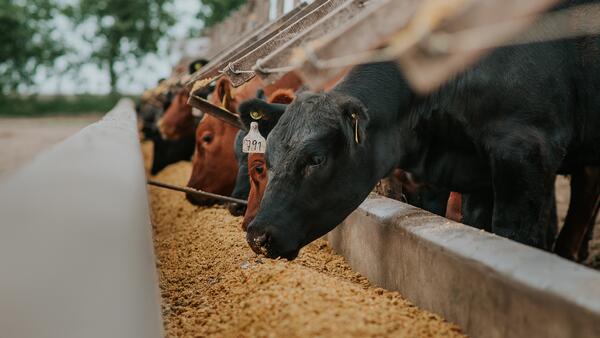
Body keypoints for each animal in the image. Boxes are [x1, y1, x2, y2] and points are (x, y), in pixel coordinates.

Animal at [245, 33, 600, 258]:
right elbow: (474, 222)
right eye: (269, 158)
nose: (257, 235)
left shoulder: (525, 149)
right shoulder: (474, 174)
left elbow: (512, 233)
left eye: (316, 159)